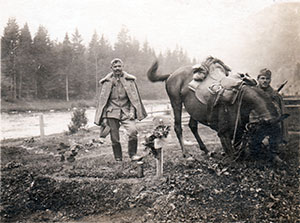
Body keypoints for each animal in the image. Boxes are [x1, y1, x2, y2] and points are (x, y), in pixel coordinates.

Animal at [147, 58, 282, 158]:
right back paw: (186, 153)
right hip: (176, 103)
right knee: (178, 127)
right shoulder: (223, 133)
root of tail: (172, 74)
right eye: (262, 132)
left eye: (275, 133)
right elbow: (233, 156)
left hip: (193, 109)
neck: (242, 100)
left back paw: (206, 150)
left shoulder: (239, 130)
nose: (258, 152)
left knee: (192, 126)